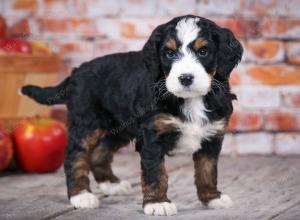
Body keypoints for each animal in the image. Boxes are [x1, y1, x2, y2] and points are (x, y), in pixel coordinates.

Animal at [21, 15, 243, 217]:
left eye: (203, 51)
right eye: (169, 53)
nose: (186, 78)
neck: (191, 99)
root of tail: (76, 72)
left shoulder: (212, 136)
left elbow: (207, 170)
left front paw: (212, 198)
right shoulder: (152, 136)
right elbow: (155, 173)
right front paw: (157, 203)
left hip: (118, 128)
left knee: (99, 152)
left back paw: (111, 184)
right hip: (86, 122)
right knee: (75, 156)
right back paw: (81, 195)